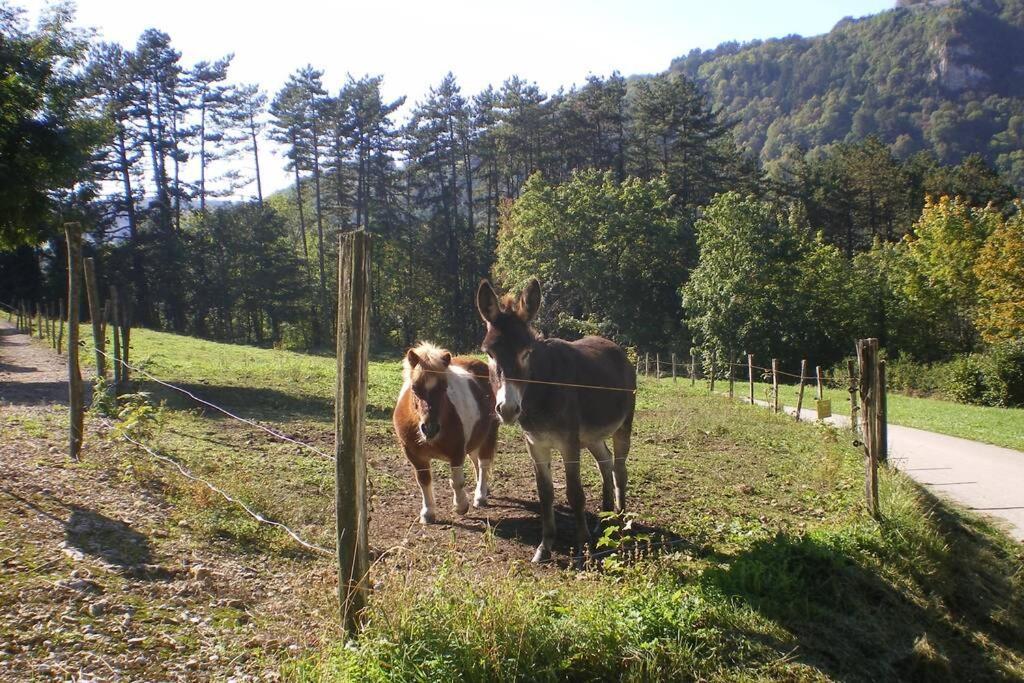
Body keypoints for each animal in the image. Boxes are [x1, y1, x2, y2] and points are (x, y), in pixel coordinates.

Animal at [391, 344, 499, 528]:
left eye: (443, 387)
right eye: (414, 388)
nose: (430, 429)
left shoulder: (457, 451)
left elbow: (457, 481)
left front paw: (461, 507)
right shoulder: (415, 456)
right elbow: (424, 481)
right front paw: (428, 513)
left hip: (489, 434)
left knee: (483, 464)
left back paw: (480, 496)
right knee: (476, 462)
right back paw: (484, 490)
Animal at [477, 278, 634, 561]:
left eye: (526, 352)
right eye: (490, 354)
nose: (508, 409)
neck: (540, 394)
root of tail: (615, 347)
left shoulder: (568, 443)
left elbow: (575, 493)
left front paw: (583, 545)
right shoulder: (535, 444)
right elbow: (545, 494)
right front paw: (545, 545)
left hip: (623, 426)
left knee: (620, 470)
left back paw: (619, 520)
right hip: (592, 436)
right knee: (605, 463)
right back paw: (603, 519)